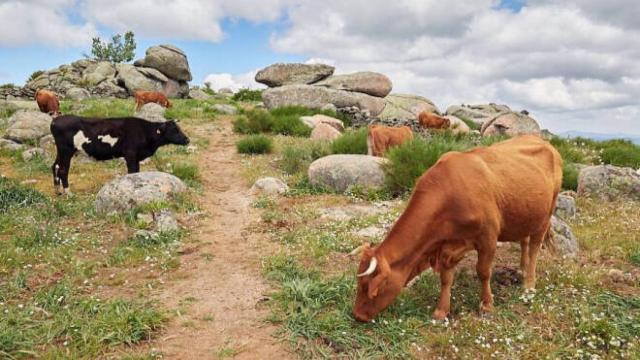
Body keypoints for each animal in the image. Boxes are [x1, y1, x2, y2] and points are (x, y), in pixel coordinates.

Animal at [50, 114, 190, 194]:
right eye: (174, 130)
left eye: (179, 128)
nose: (187, 139)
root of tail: (55, 120)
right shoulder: (130, 154)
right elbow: (132, 172)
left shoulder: (137, 157)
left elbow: (137, 172)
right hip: (66, 151)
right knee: (63, 170)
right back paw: (68, 193)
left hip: (61, 151)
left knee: (55, 166)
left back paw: (58, 191)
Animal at [352, 134, 564, 320]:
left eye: (368, 286)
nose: (357, 315)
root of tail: (544, 142)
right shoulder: (446, 245)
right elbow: (446, 278)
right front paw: (441, 311)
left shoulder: (488, 237)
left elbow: (483, 272)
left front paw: (487, 305)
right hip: (526, 214)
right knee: (524, 240)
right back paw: (522, 269)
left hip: (547, 213)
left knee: (535, 246)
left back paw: (529, 283)